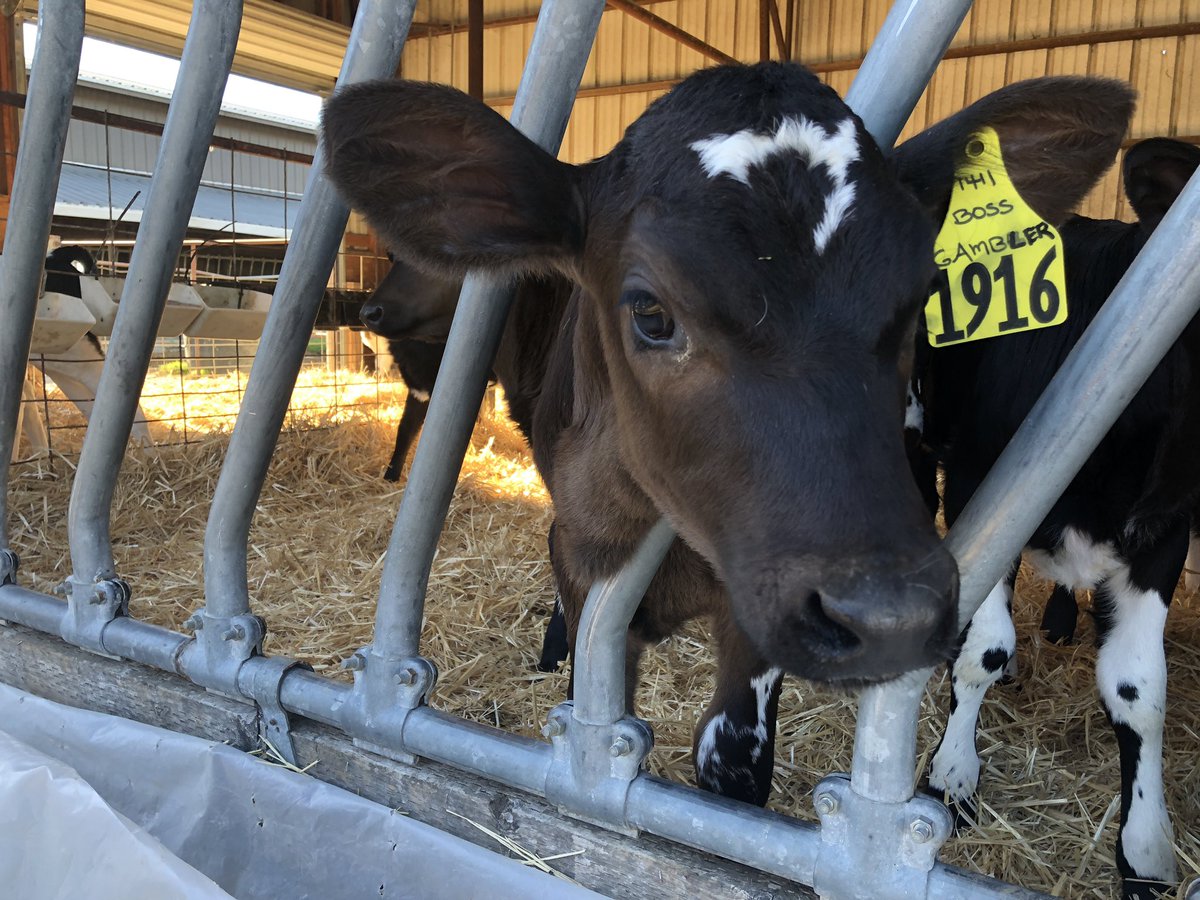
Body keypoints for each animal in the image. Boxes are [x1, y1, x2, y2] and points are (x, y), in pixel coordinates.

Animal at [322, 63, 1132, 809]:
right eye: (650, 312)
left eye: (924, 295)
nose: (890, 617)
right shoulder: (584, 562)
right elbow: (593, 709)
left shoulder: (763, 612)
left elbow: (736, 766)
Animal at [924, 137, 1200, 900]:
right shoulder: (977, 485)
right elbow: (983, 648)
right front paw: (951, 777)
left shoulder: (1164, 534)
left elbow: (1140, 691)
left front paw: (1145, 848)